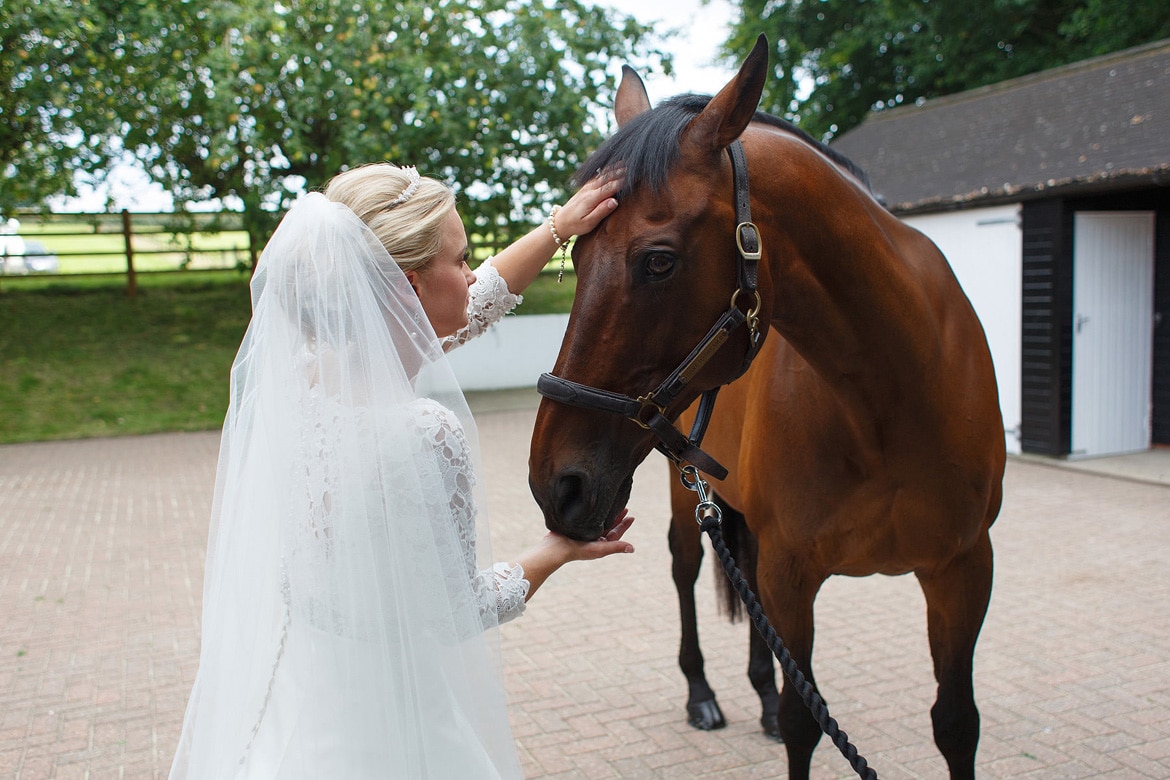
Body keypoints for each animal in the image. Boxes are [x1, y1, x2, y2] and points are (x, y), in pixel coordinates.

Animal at [531, 33, 1006, 776]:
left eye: (658, 261)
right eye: (575, 256)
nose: (557, 484)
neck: (892, 401)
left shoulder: (963, 570)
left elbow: (955, 723)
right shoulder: (794, 573)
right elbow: (805, 716)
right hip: (684, 494)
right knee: (687, 568)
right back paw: (702, 694)